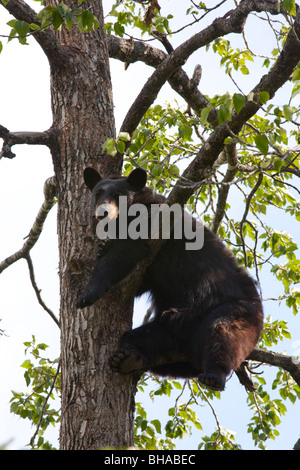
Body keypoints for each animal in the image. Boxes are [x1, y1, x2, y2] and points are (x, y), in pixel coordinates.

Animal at [77, 167, 262, 392]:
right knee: (147, 338)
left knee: (224, 332)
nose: (103, 212)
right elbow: (140, 281)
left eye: (117, 195)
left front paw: (87, 295)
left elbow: (125, 251)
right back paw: (127, 358)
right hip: (169, 329)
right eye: (98, 194)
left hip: (239, 310)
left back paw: (214, 375)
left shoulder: (153, 220)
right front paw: (102, 247)